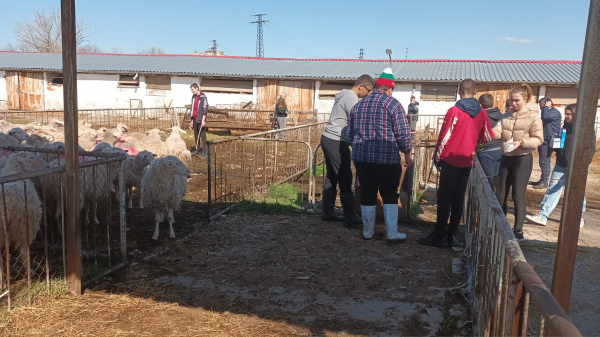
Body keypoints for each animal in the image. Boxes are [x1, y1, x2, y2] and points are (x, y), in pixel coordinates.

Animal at [0, 152, 49, 288]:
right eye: (32, 159)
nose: (48, 166)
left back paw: (3, 284)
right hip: (23, 225)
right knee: (23, 252)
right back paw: (29, 273)